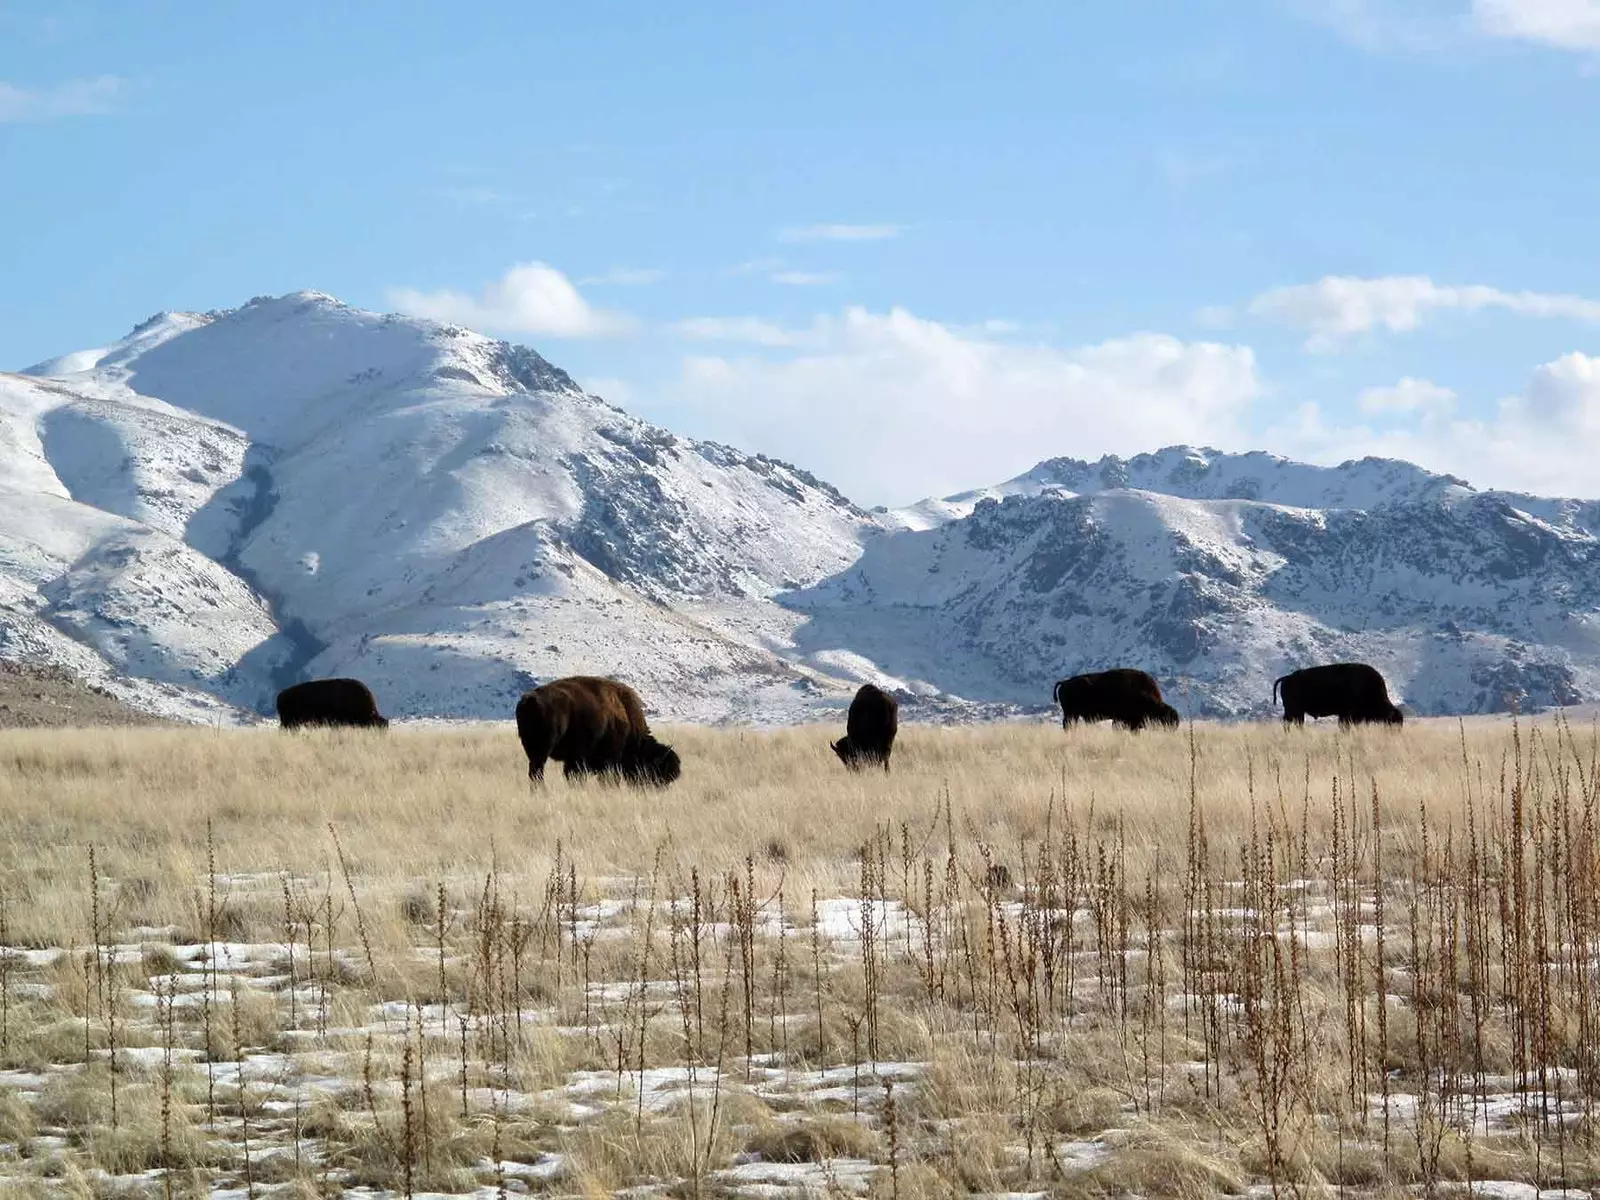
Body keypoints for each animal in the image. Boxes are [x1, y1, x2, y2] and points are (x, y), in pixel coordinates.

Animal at [515, 678, 678, 790]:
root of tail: (528, 700)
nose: (658, 790)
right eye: (655, 772)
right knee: (537, 772)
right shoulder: (606, 761)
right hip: (543, 750)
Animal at [1056, 668, 1184, 732]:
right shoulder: (1122, 720)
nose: (1172, 730)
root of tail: (1065, 682)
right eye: (1166, 720)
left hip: (1073, 715)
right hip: (1071, 714)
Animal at [1273, 662, 1401, 729]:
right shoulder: (1347, 714)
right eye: (1394, 722)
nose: (1395, 732)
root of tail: (1287, 678)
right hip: (1295, 711)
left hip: (1293, 712)